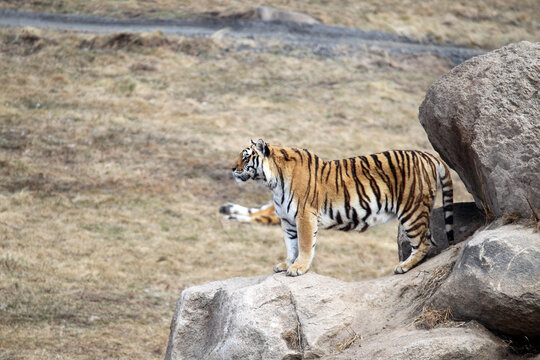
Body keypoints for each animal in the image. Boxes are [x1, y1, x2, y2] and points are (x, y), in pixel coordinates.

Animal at [226, 139, 454, 278]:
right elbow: (291, 245)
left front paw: (298, 268)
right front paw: (286, 264)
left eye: (245, 157)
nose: (232, 168)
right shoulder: (287, 221)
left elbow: (305, 245)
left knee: (423, 242)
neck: (272, 182)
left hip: (411, 210)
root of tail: (428, 155)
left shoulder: (304, 216)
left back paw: (404, 266)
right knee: (430, 240)